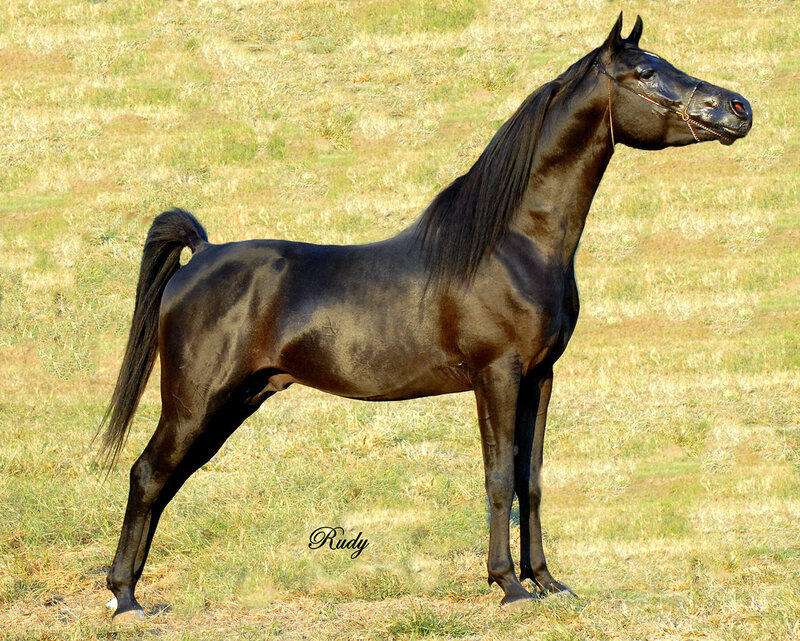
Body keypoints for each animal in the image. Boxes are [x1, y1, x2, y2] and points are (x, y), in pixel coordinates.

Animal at [99, 14, 751, 619]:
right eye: (645, 73)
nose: (738, 108)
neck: (513, 244)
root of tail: (201, 254)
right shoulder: (496, 375)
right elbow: (498, 478)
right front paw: (509, 586)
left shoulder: (540, 378)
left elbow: (531, 479)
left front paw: (547, 582)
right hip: (197, 401)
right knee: (147, 475)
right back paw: (125, 600)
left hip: (234, 401)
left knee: (165, 482)